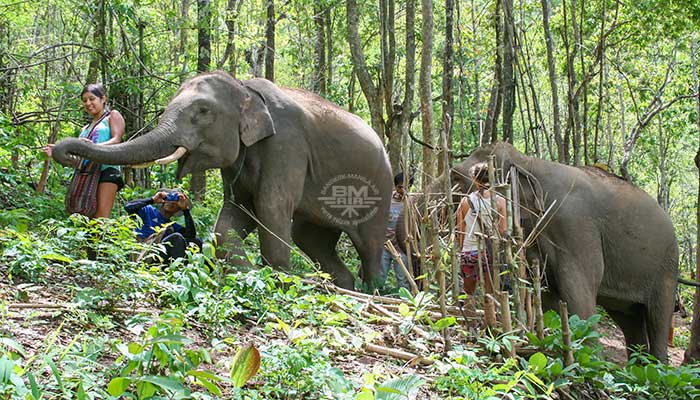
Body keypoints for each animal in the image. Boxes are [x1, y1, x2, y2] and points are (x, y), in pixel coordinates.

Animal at [53, 71, 394, 290]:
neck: (246, 89)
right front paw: (247, 275)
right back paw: (346, 288)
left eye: (203, 111)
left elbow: (270, 208)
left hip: (380, 189)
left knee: (369, 245)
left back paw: (374, 291)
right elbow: (233, 216)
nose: (65, 153)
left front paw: (278, 281)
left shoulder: (286, 145)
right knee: (310, 238)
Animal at [400, 141, 680, 362]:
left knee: (658, 317)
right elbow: (546, 294)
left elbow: (580, 290)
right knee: (629, 318)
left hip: (667, 269)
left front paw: (590, 361)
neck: (530, 163)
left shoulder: (574, 224)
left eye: (456, 177)